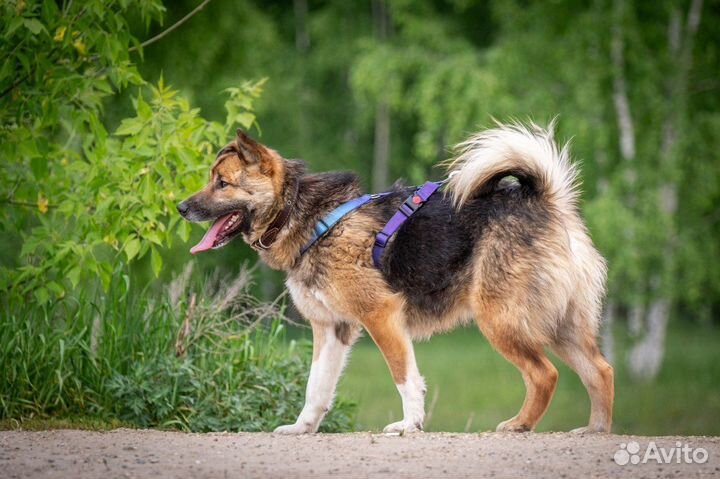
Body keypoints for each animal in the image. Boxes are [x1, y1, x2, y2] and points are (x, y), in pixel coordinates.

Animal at [176, 123, 612, 436]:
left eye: (222, 183)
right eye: (211, 180)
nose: (180, 207)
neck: (310, 219)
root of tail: (547, 200)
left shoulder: (381, 316)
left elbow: (405, 377)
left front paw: (409, 424)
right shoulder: (331, 328)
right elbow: (316, 388)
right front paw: (303, 428)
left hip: (501, 320)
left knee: (545, 375)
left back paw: (520, 424)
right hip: (560, 325)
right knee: (600, 371)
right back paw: (595, 430)